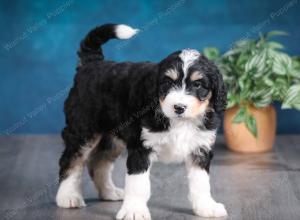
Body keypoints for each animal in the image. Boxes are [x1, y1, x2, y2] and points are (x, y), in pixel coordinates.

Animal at [55, 23, 227, 219]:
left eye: (198, 85)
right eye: (167, 83)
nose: (179, 107)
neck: (179, 121)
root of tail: (92, 63)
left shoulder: (200, 148)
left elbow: (201, 182)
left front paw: (206, 206)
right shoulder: (141, 146)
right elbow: (138, 184)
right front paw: (134, 210)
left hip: (112, 137)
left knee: (99, 163)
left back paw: (109, 192)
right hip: (83, 128)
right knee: (71, 160)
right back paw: (68, 196)